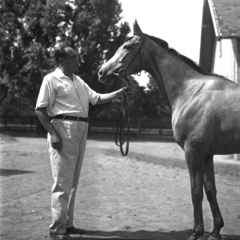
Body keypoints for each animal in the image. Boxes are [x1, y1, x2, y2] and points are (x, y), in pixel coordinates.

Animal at [98, 20, 240, 240]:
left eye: (127, 46)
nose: (102, 72)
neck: (191, 91)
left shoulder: (193, 152)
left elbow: (196, 191)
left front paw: (196, 232)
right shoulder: (207, 155)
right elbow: (210, 190)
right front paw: (215, 231)